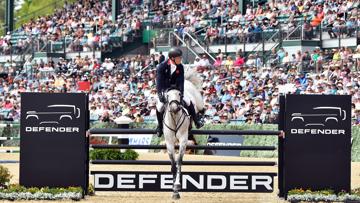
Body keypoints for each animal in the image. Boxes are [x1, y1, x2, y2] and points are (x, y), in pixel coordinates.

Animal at [162, 67, 204, 199]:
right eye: (167, 95)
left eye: (179, 94)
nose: (174, 108)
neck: (175, 118)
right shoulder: (169, 142)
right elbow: (173, 164)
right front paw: (174, 191)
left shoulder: (183, 140)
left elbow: (179, 161)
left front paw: (177, 186)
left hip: (198, 101)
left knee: (201, 108)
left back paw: (200, 120)